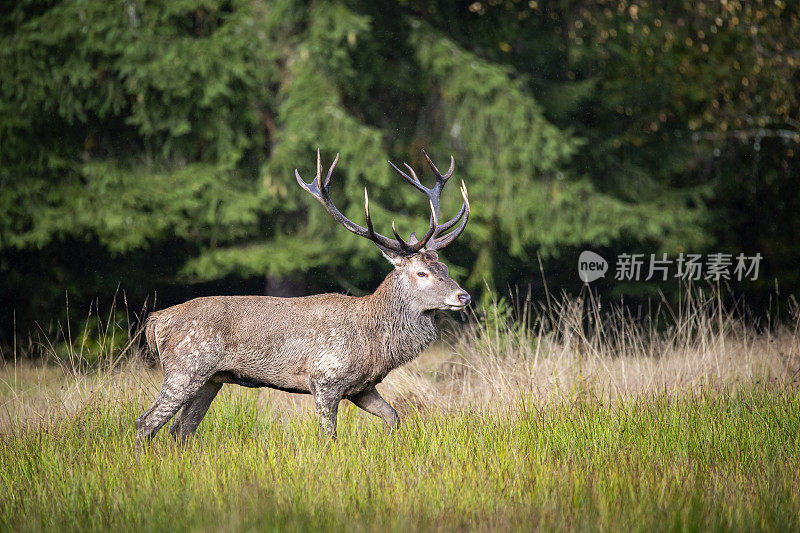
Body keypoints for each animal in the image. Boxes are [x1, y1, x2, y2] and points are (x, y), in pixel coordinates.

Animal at [135, 149, 472, 440]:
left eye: (443, 266)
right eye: (422, 273)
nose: (463, 297)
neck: (374, 341)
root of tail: (157, 320)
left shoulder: (363, 388)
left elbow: (394, 417)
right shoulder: (325, 379)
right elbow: (329, 437)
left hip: (210, 379)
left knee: (181, 430)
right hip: (185, 368)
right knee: (146, 423)